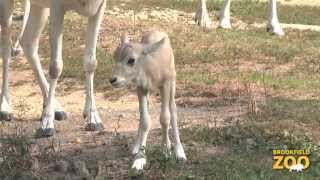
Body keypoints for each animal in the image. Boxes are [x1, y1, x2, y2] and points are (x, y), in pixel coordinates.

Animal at [110, 30, 186, 170]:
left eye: (131, 60)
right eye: (115, 56)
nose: (113, 80)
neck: (151, 67)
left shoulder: (165, 85)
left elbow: (165, 118)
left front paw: (166, 151)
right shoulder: (141, 89)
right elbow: (145, 120)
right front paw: (140, 159)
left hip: (172, 82)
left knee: (172, 109)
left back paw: (179, 151)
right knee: (143, 115)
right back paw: (136, 147)